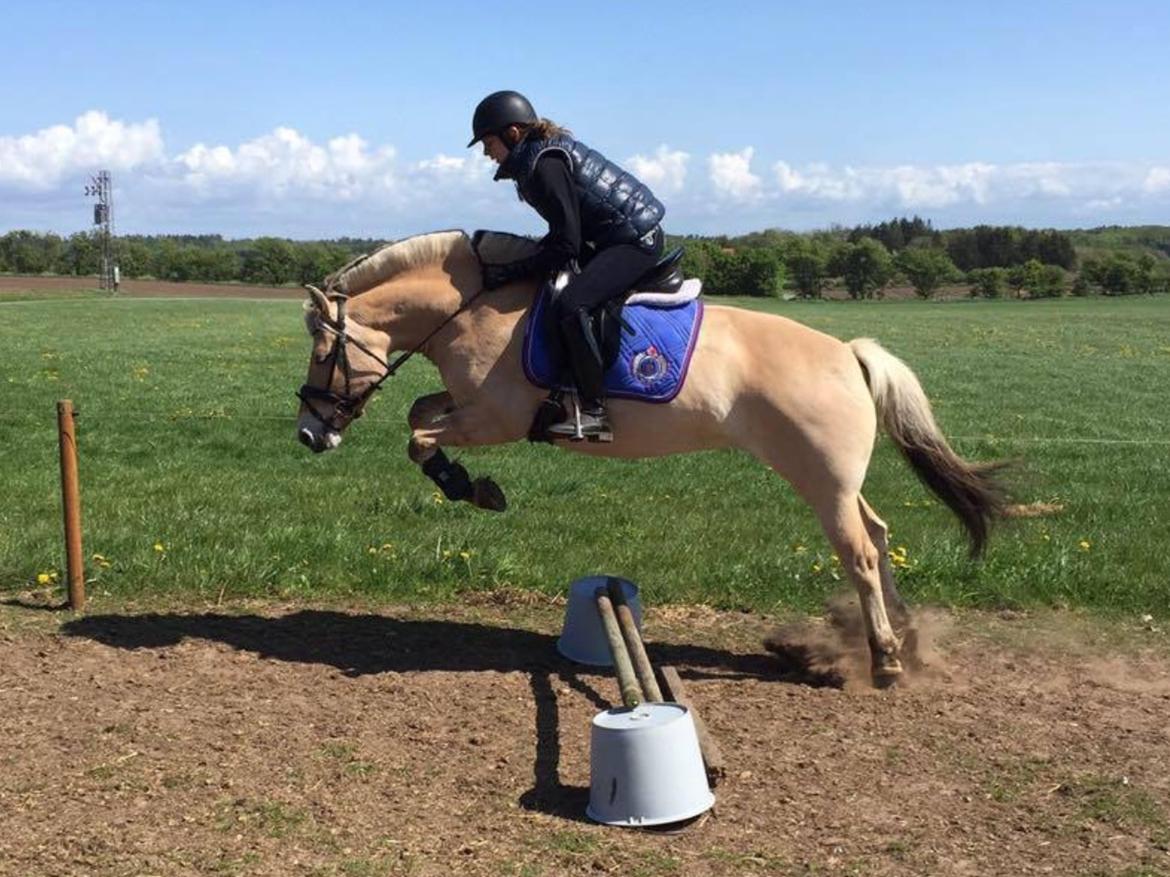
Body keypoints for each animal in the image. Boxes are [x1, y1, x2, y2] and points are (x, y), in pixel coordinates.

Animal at [292, 230, 1006, 692]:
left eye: (324, 352)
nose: (308, 434)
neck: (471, 311)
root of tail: (849, 353)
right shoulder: (468, 407)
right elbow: (419, 416)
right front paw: (470, 485)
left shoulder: (495, 419)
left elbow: (418, 436)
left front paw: (472, 487)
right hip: (836, 480)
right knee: (879, 538)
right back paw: (904, 638)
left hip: (820, 482)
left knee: (858, 553)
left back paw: (885, 660)